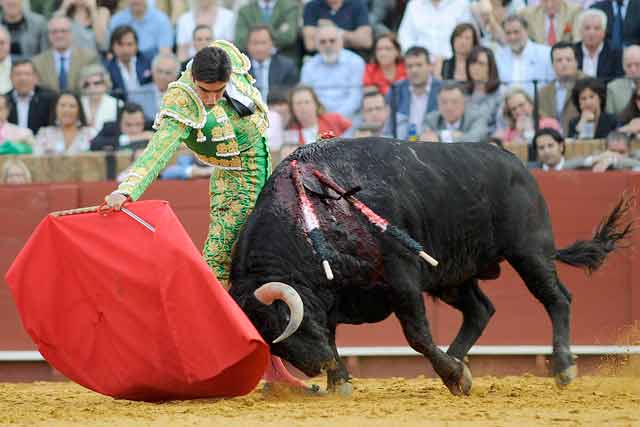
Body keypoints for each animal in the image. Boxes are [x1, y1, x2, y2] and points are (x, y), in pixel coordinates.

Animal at [228, 140, 632, 398]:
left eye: (282, 321)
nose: (315, 366)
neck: (315, 214)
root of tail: (517, 163)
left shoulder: (401, 276)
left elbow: (417, 335)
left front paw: (456, 376)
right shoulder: (331, 295)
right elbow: (332, 333)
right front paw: (339, 380)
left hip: (529, 251)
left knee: (556, 299)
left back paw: (561, 366)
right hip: (453, 276)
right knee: (480, 311)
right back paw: (456, 361)